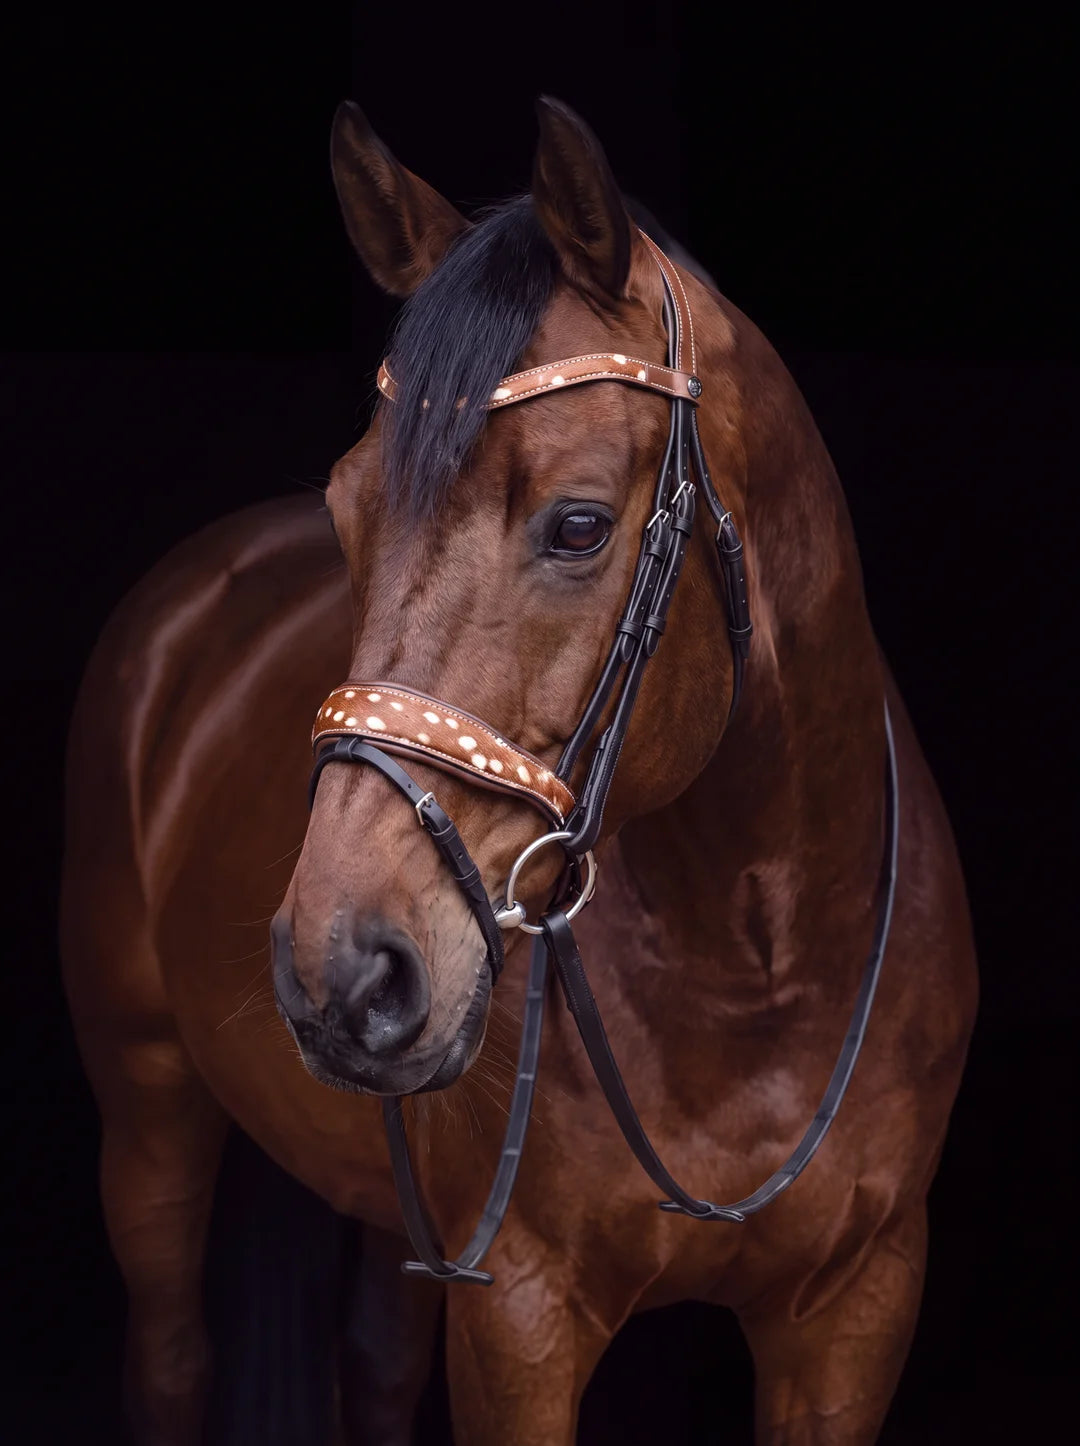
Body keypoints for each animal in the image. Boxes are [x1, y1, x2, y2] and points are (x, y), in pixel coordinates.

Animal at [61, 97, 977, 1445]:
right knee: (171, 1357)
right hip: (148, 1102)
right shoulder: (519, 1320)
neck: (754, 972)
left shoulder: (858, 1310)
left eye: (581, 524)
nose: (342, 968)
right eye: (346, 511)